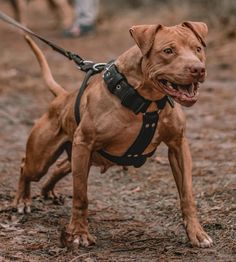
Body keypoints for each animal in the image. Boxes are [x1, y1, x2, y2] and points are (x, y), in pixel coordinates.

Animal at [14, 22, 214, 248]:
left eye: (198, 49)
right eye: (168, 51)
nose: (198, 69)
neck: (146, 100)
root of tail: (62, 96)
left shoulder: (178, 145)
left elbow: (187, 194)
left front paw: (197, 233)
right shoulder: (84, 143)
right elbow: (81, 195)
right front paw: (79, 233)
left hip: (75, 158)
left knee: (59, 167)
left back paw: (48, 191)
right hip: (42, 160)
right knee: (25, 166)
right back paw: (22, 200)